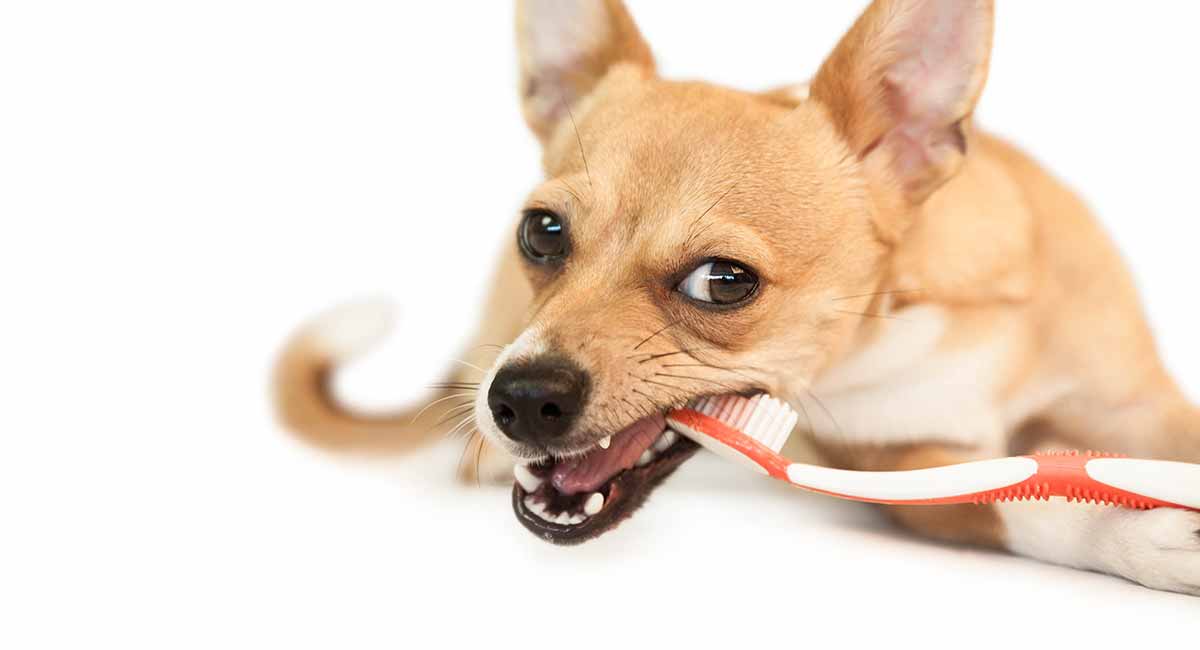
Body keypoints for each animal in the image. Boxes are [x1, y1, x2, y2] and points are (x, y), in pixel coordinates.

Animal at [274, 0, 1200, 599]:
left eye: (722, 282)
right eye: (542, 233)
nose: (521, 397)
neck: (917, 319)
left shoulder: (1141, 409)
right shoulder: (900, 469)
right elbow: (1020, 496)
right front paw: (1140, 533)